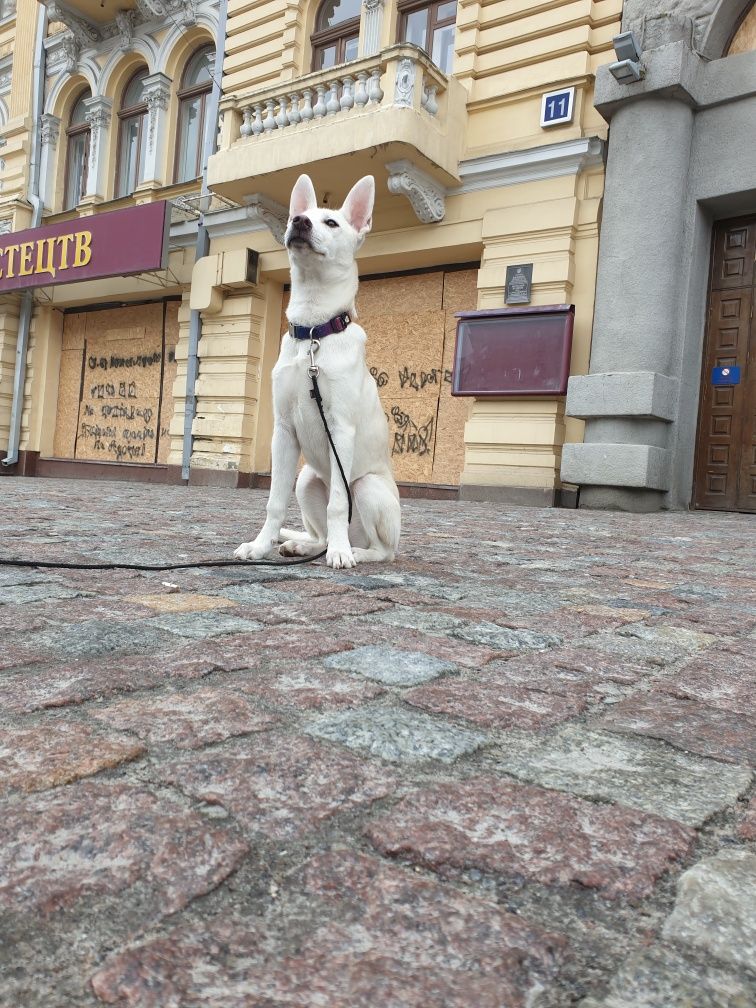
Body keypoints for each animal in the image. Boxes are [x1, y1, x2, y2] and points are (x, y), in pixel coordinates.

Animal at [235, 173, 403, 568]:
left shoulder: (340, 429)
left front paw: (341, 555)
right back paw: (305, 546)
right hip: (306, 479)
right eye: (299, 215)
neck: (313, 332)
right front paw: (260, 546)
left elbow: (337, 504)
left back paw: (351, 549)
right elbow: (274, 502)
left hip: (367, 488)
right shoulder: (282, 432)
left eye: (331, 222)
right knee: (321, 535)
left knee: (381, 550)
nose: (299, 222)